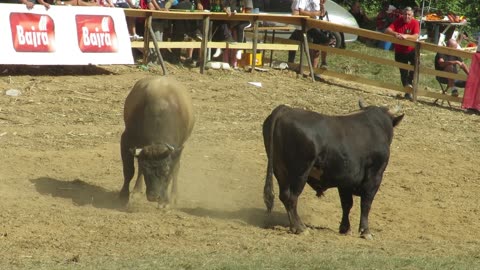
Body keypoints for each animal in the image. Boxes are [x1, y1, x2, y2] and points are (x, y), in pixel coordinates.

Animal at [262, 102, 404, 238]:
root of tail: (285, 110)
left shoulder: (346, 181)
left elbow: (346, 204)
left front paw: (345, 228)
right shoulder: (374, 177)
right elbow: (366, 204)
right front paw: (365, 231)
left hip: (280, 170)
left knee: (284, 196)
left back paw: (295, 226)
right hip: (299, 173)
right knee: (291, 197)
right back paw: (300, 228)